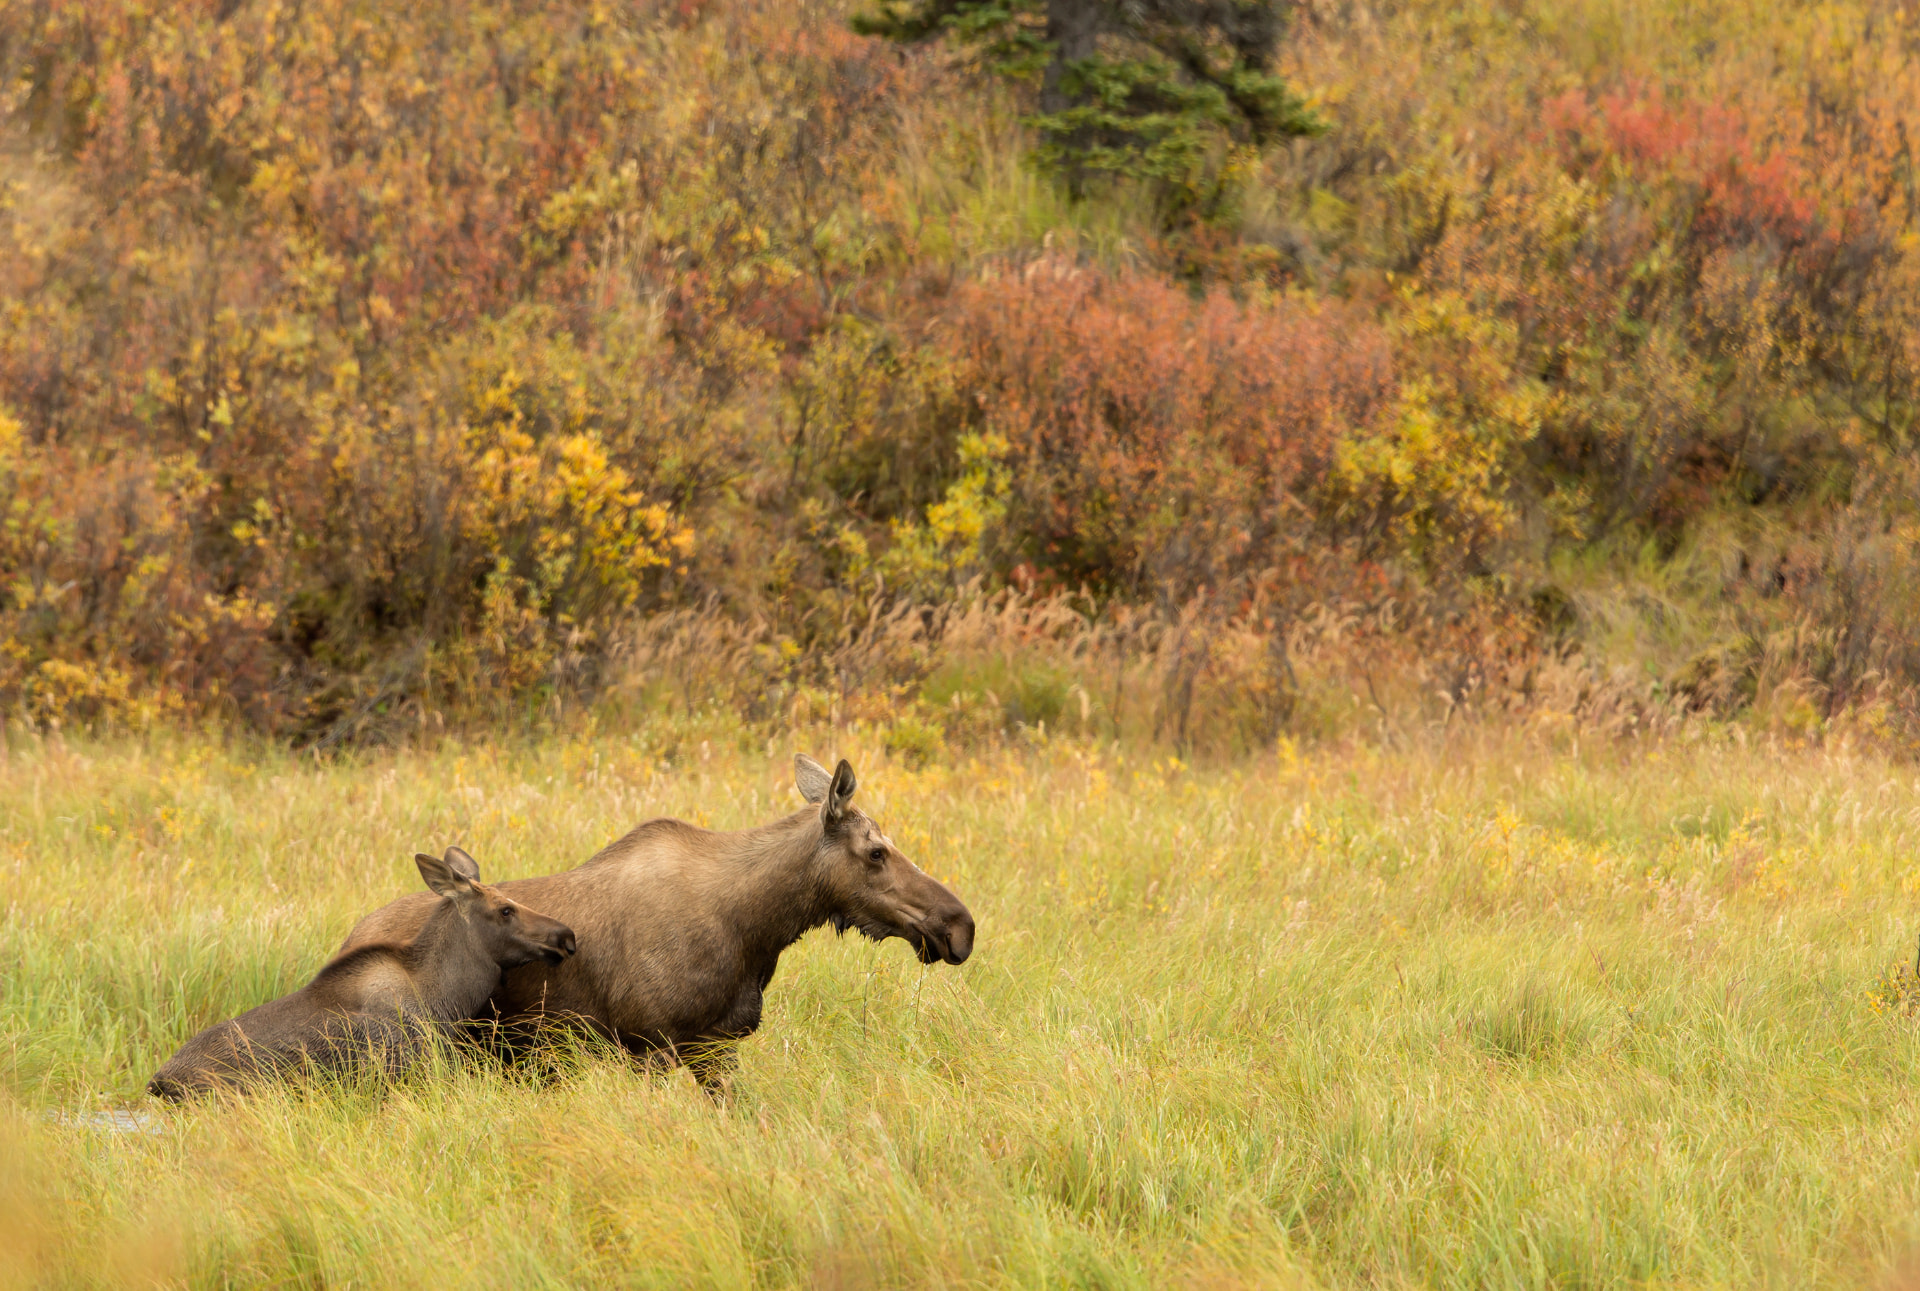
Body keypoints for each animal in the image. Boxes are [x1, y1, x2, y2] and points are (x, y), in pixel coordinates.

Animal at [338, 755, 975, 1092]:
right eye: (876, 852)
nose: (959, 925)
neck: (755, 930)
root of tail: (347, 938)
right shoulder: (653, 1046)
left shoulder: (713, 1047)